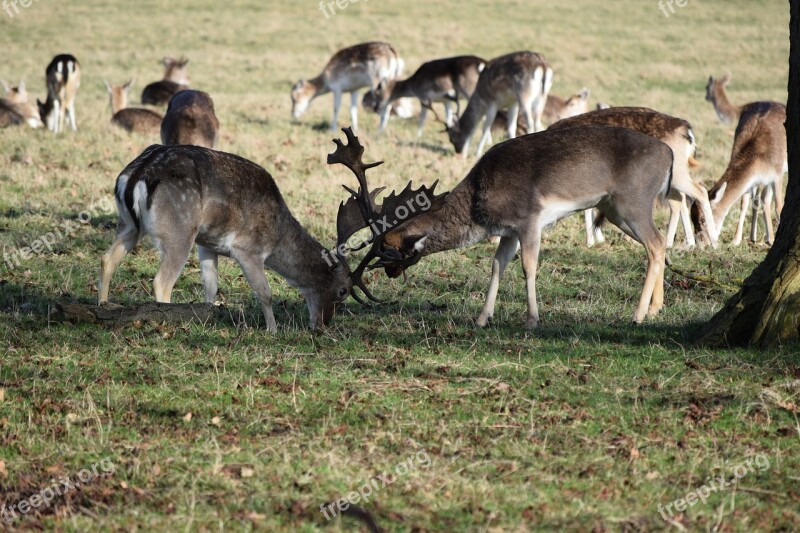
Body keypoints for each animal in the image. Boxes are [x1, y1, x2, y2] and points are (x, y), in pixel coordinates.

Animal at [332, 127, 676, 328]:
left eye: (388, 250)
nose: (390, 273)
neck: (480, 204)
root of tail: (670, 154)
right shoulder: (508, 232)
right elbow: (497, 265)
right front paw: (482, 318)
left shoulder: (529, 219)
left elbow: (529, 266)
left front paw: (532, 320)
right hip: (615, 209)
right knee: (658, 246)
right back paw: (655, 309)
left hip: (632, 202)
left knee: (656, 243)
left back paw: (637, 315)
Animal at [552, 109, 720, 250]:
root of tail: (686, 129)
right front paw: (594, 240)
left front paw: (592, 241)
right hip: (672, 179)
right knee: (678, 201)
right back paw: (674, 243)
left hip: (677, 173)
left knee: (700, 191)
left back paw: (714, 243)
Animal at [688, 101, 788, 245]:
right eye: (692, 218)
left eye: (703, 219)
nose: (701, 243)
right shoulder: (753, 180)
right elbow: (744, 203)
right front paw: (735, 240)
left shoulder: (777, 174)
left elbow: (779, 207)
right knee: (761, 199)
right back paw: (757, 237)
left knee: (765, 199)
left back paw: (770, 238)